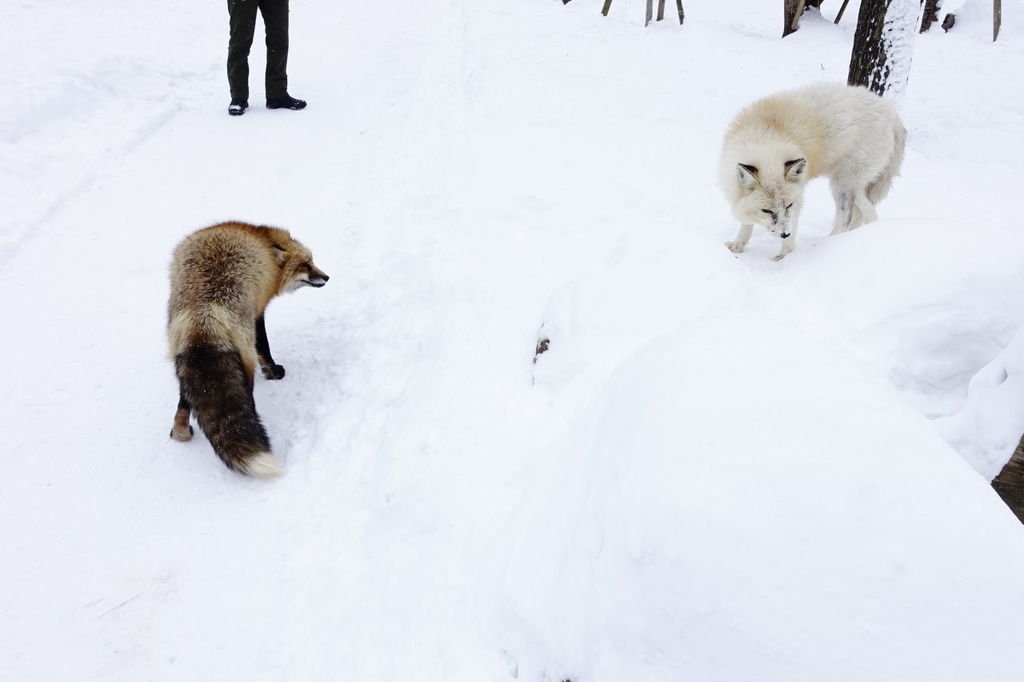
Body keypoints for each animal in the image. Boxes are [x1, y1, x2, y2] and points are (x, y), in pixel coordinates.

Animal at [166, 220, 327, 475]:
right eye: (305, 264)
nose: (327, 277)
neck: (262, 238)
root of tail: (205, 316)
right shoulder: (258, 312)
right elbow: (265, 348)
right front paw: (273, 372)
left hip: (181, 360)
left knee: (184, 400)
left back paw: (180, 432)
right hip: (244, 356)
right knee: (246, 398)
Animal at [720, 82, 905, 258]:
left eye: (788, 205)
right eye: (767, 210)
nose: (785, 234)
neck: (766, 141)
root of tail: (891, 112)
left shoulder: (798, 198)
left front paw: (785, 256)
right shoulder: (741, 196)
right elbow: (746, 224)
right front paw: (738, 245)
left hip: (842, 184)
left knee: (846, 218)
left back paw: (825, 245)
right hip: (850, 185)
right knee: (870, 214)